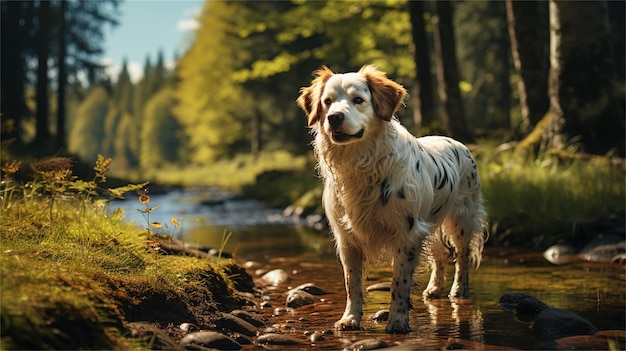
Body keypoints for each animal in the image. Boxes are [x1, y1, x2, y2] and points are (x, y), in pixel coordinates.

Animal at [294, 65, 486, 336]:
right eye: (327, 102)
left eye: (358, 100)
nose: (334, 118)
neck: (361, 162)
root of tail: (457, 142)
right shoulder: (347, 239)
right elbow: (352, 284)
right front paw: (349, 319)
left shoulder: (407, 233)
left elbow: (399, 282)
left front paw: (397, 321)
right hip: (431, 223)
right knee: (439, 254)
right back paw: (435, 288)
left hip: (461, 219)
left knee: (462, 256)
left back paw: (459, 290)